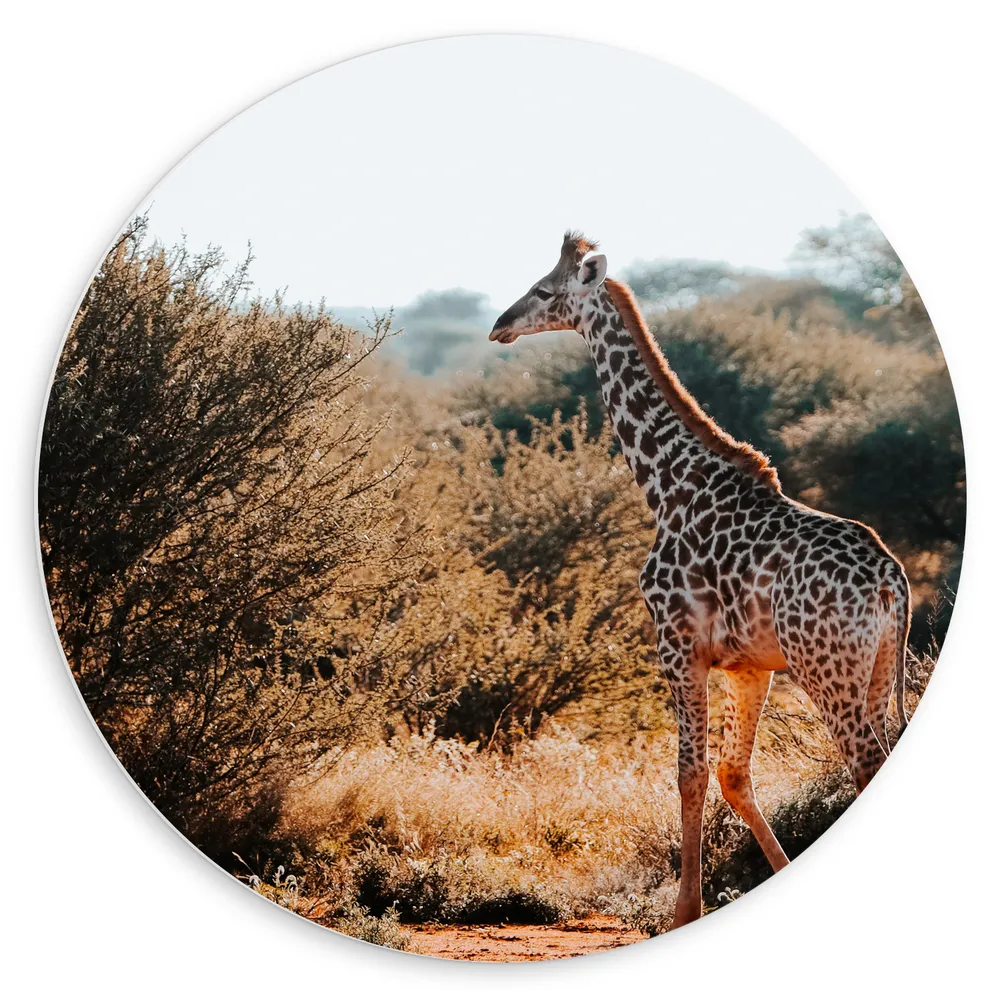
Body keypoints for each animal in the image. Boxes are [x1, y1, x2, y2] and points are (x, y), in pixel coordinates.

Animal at [490, 232, 911, 929]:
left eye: (545, 290)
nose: (499, 324)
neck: (668, 485)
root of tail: (889, 583)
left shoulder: (678, 642)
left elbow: (689, 771)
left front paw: (685, 909)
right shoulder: (750, 665)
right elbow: (733, 773)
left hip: (827, 669)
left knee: (865, 763)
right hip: (875, 671)